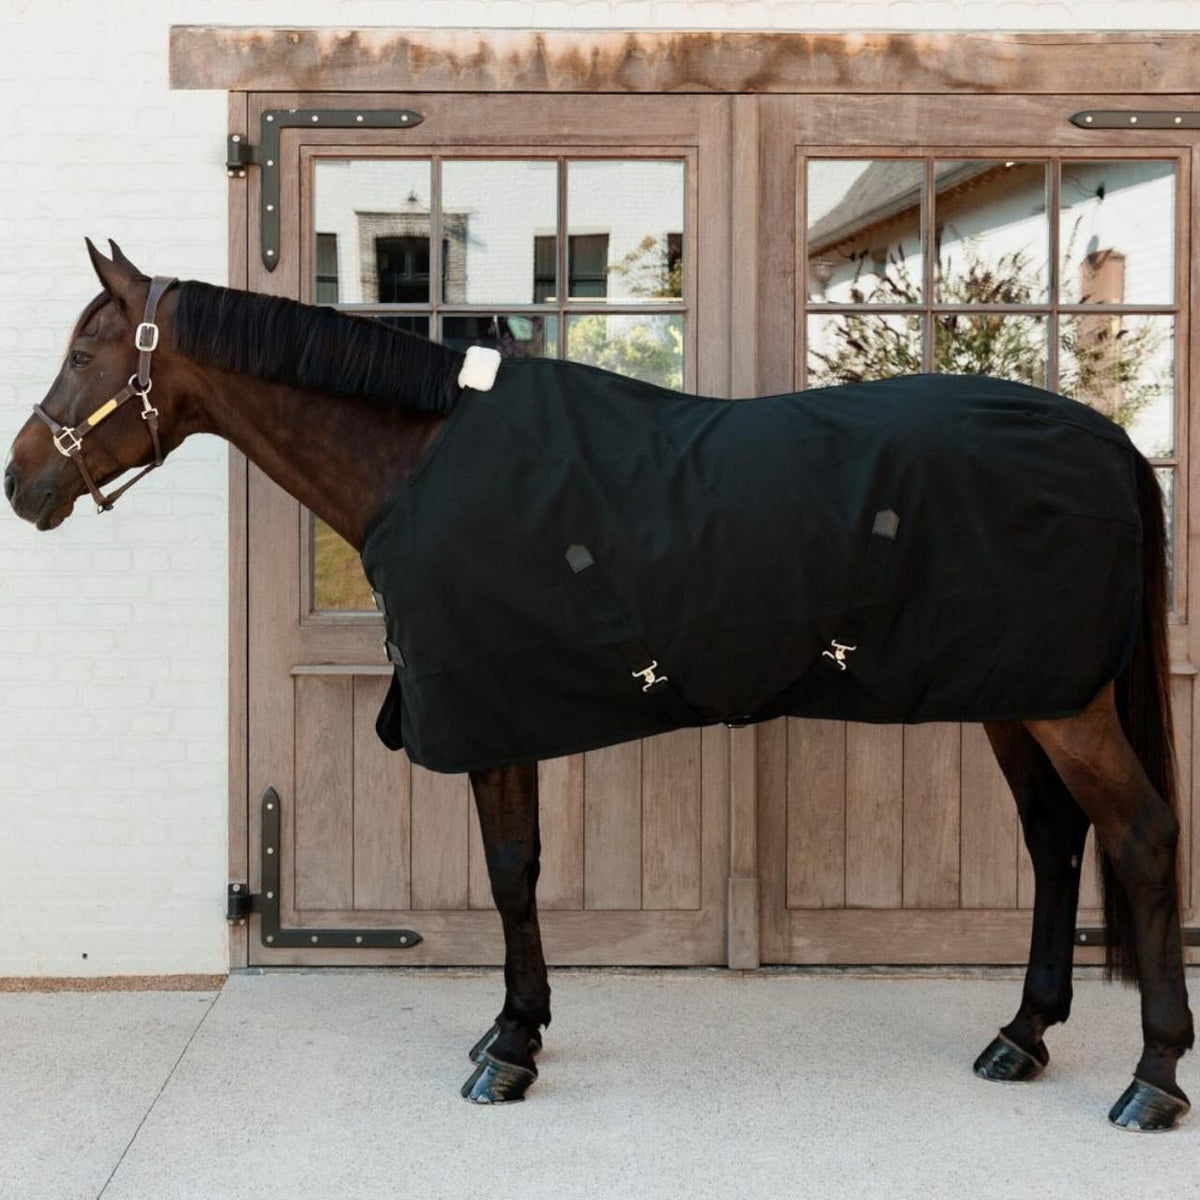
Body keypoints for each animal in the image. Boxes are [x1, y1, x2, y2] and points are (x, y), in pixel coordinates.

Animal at [5, 240, 1193, 1130]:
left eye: (84, 349)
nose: (21, 481)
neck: (423, 460)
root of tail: (1108, 441)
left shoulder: (487, 712)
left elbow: (510, 873)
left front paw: (508, 1053)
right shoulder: (507, 712)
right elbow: (522, 870)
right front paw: (515, 1028)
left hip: (1063, 705)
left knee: (1137, 833)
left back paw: (1152, 1082)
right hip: (1016, 694)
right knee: (1056, 837)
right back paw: (1022, 1036)